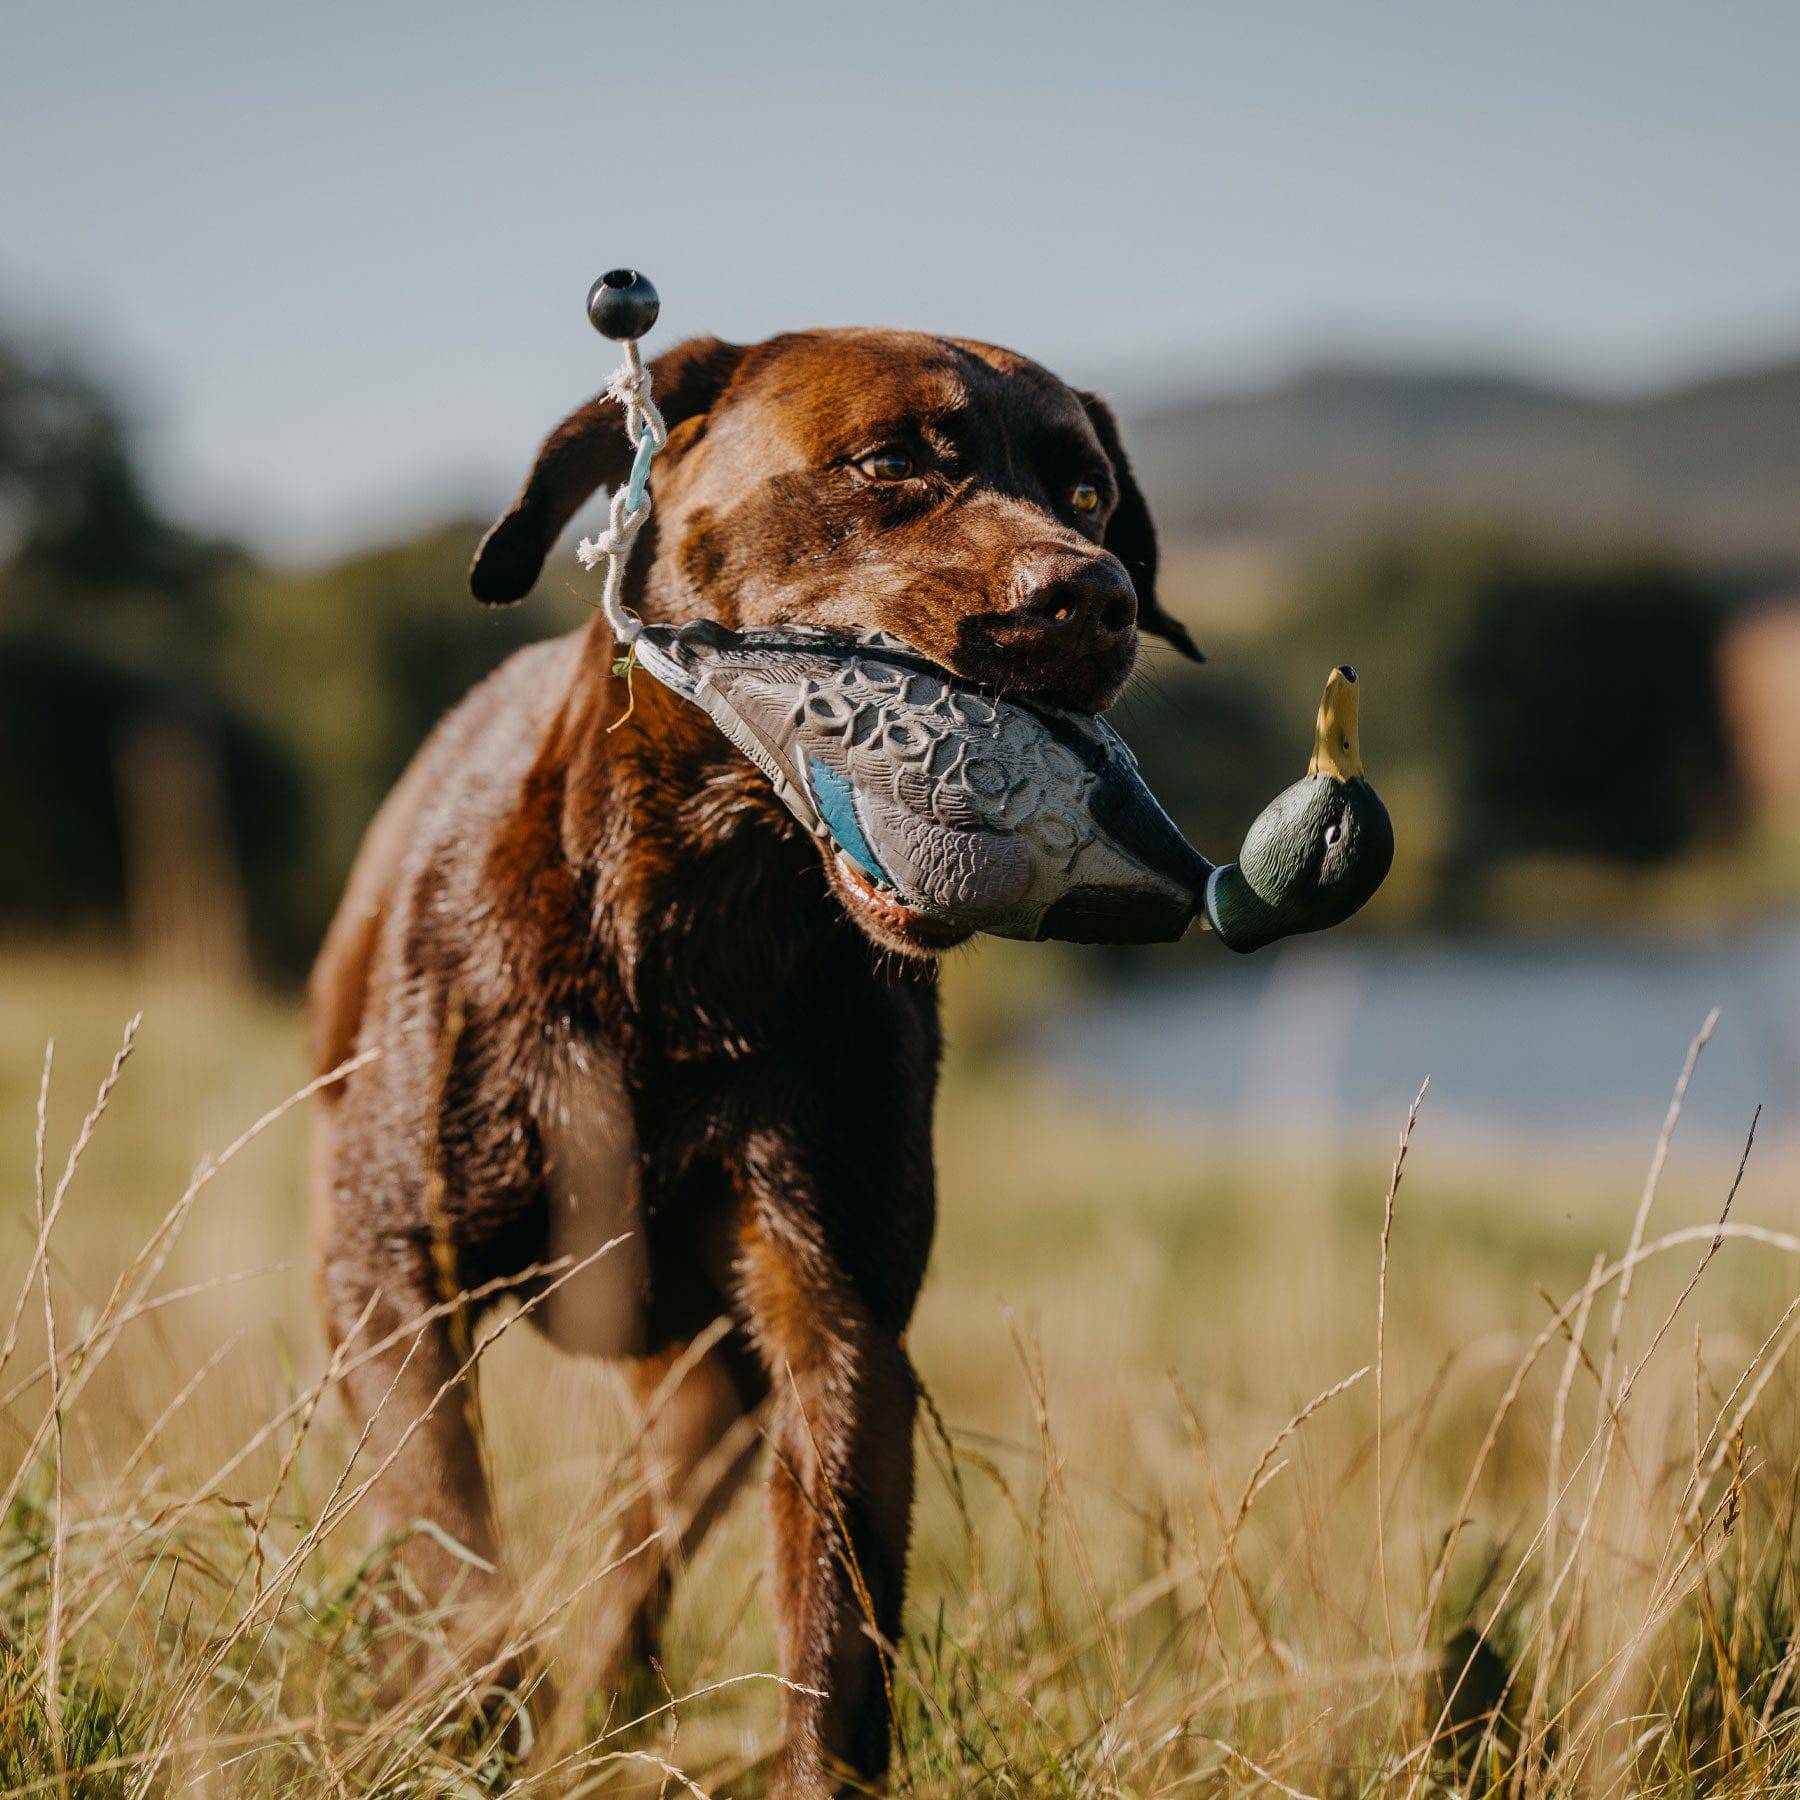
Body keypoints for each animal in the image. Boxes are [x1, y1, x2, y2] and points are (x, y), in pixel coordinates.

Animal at [313, 324, 1195, 1785]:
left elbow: (835, 1650)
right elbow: (448, 1548)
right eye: (887, 463)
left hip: (703, 1387)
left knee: (631, 1561)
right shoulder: (392, 1276)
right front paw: (463, 1718)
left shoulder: (835, 1330)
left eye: (1087, 497)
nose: (1097, 596)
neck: (695, 923)